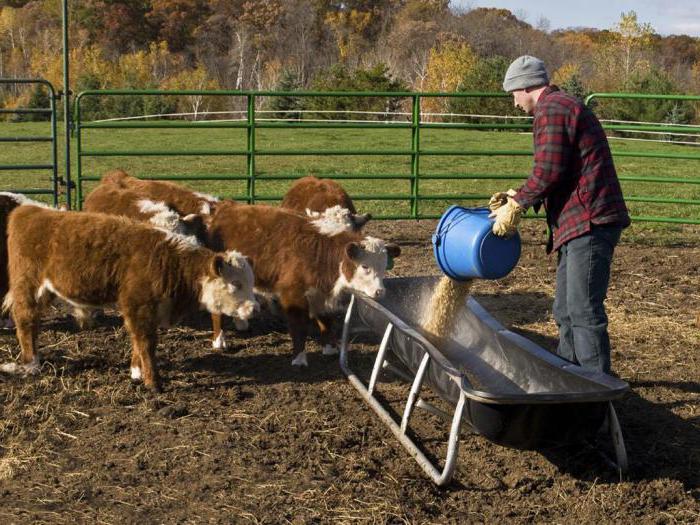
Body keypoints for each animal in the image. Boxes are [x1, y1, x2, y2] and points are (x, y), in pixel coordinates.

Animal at [1, 204, 258, 388]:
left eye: (251, 282)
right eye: (235, 283)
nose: (254, 309)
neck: (168, 262)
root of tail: (31, 210)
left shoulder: (145, 310)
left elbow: (137, 340)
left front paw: (136, 372)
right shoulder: (138, 305)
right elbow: (146, 342)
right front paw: (153, 382)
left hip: (45, 291)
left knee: (33, 323)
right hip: (28, 286)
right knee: (25, 320)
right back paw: (31, 364)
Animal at [205, 201, 400, 364]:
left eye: (384, 266)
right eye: (365, 266)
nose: (379, 292)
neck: (321, 251)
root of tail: (225, 207)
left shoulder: (321, 294)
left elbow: (326, 321)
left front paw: (330, 348)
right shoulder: (293, 296)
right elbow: (299, 328)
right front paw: (299, 359)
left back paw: (241, 322)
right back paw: (219, 340)